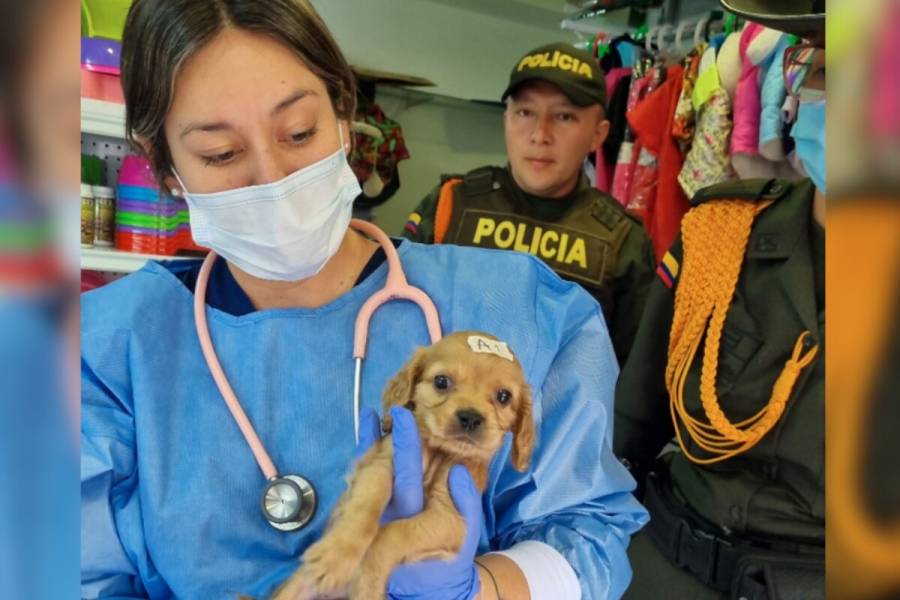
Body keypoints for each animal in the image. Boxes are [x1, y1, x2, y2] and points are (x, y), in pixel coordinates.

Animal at [270, 332, 532, 600]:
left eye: (504, 397)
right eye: (441, 381)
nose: (470, 417)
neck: (438, 453)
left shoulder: (451, 516)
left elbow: (390, 535)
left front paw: (368, 581)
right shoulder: (382, 467)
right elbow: (367, 507)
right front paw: (336, 556)